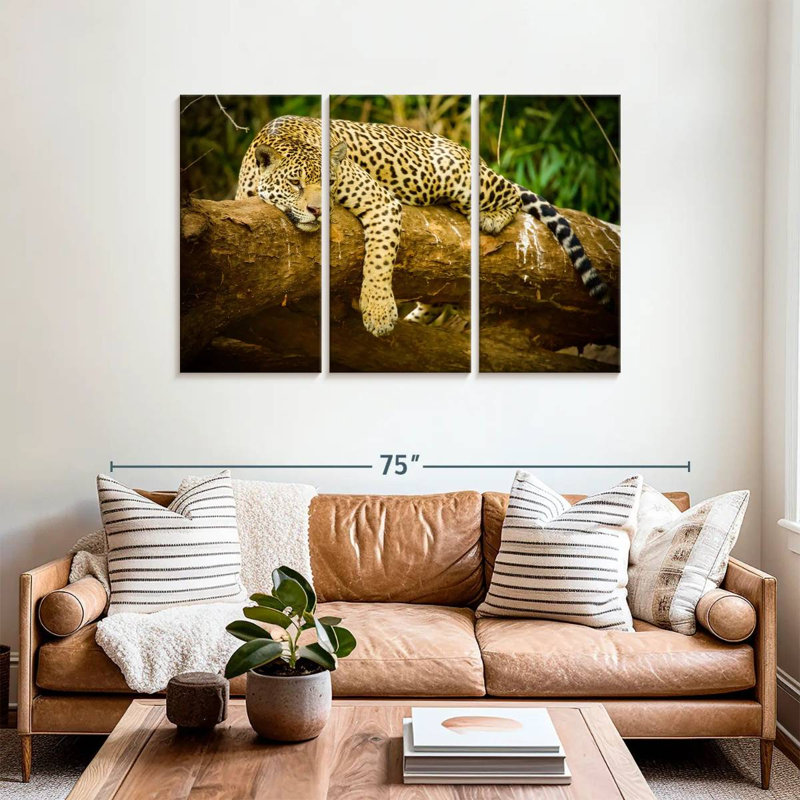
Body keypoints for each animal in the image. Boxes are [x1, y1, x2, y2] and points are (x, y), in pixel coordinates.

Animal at [237, 115, 612, 337]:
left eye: (328, 183)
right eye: (296, 183)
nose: (317, 211)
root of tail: (472, 153)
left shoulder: (381, 201)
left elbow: (378, 262)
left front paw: (378, 313)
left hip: (459, 176)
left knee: (511, 193)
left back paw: (489, 216)